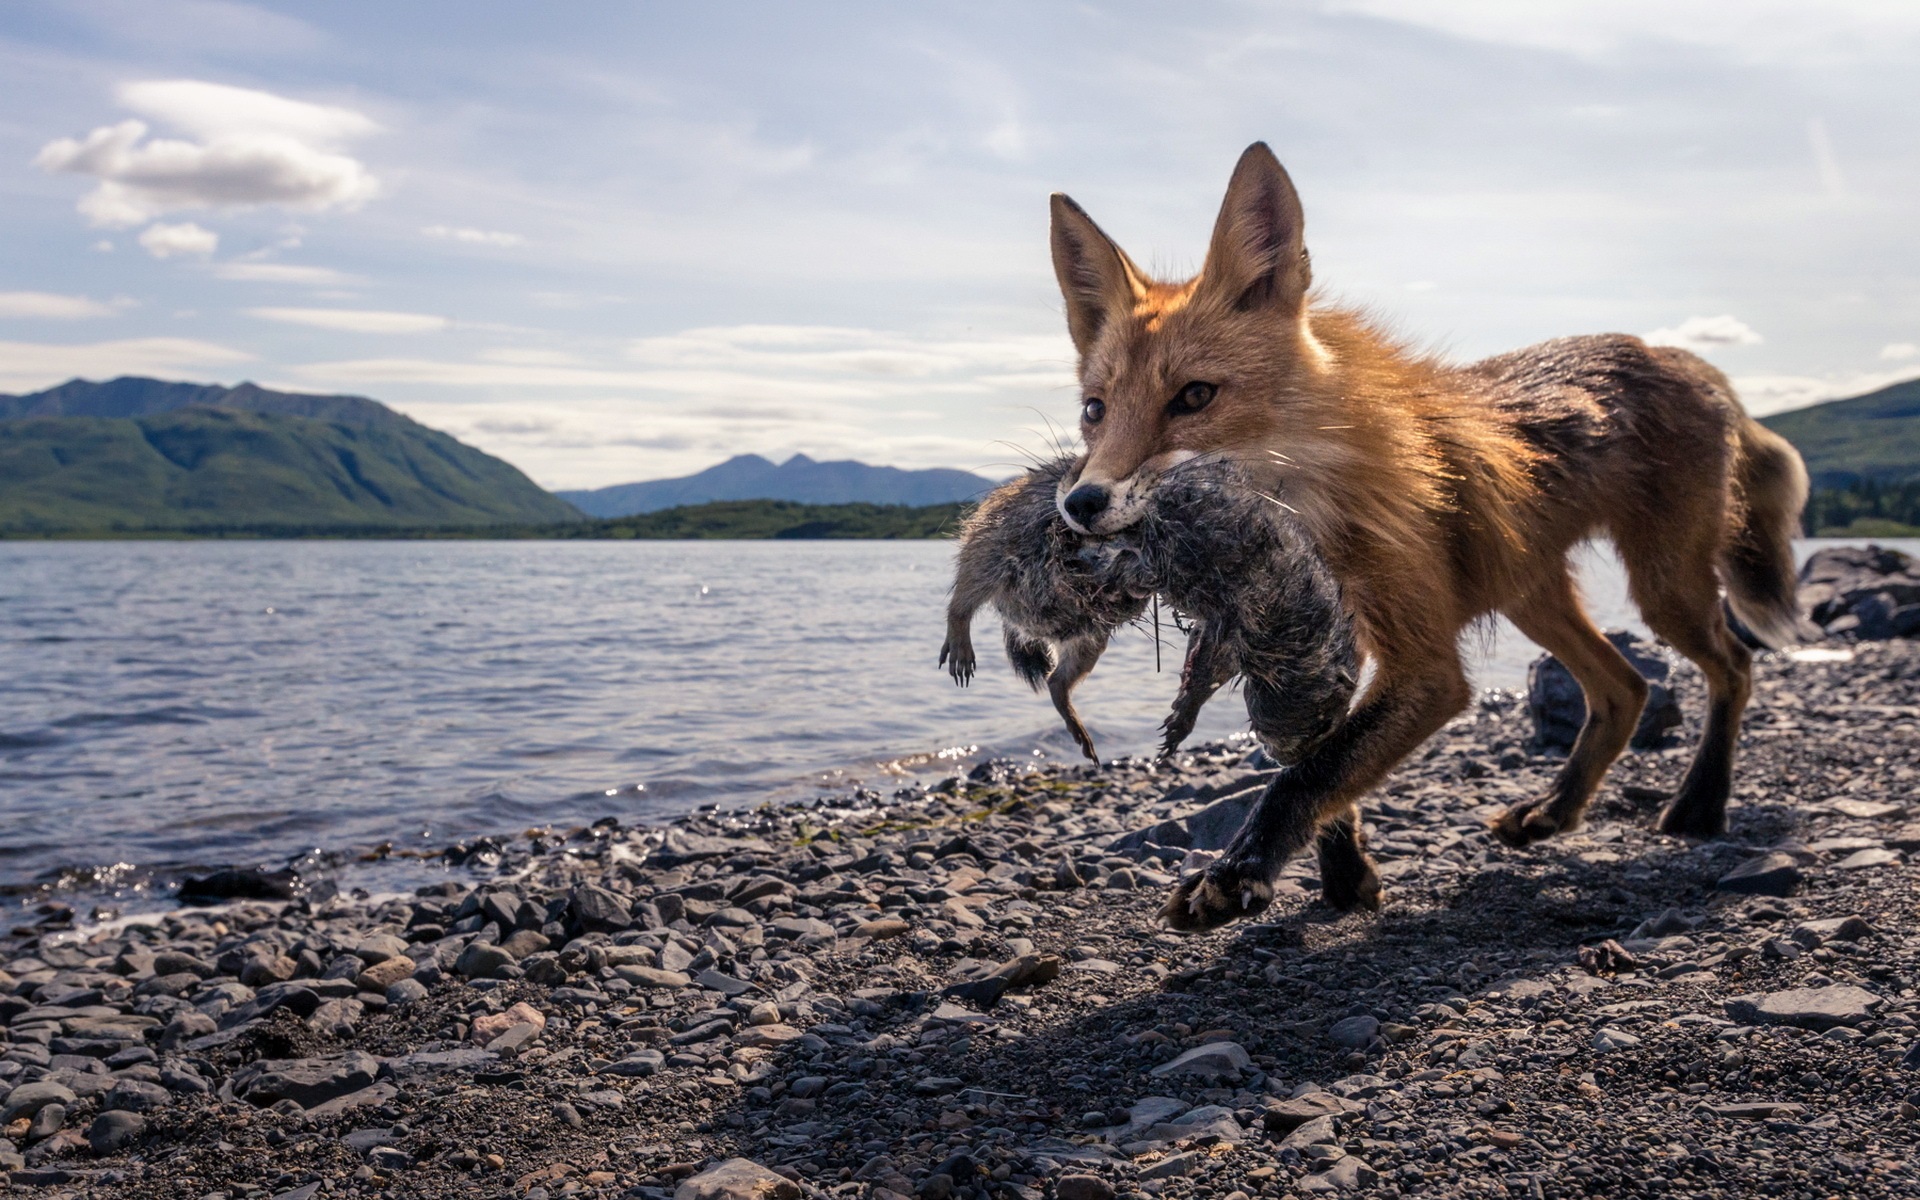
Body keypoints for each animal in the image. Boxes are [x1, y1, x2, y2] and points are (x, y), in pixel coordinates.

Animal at [1044, 142, 1810, 932]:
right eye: (1095, 410)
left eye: (1194, 396)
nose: (1081, 503)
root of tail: (1680, 357)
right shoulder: (1316, 647)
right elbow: (1320, 766)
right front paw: (1345, 876)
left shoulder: (1426, 665)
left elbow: (1309, 775)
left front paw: (1239, 875)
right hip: (1532, 596)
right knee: (1625, 688)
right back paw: (1556, 812)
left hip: (1662, 590)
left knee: (1733, 666)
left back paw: (1700, 805)